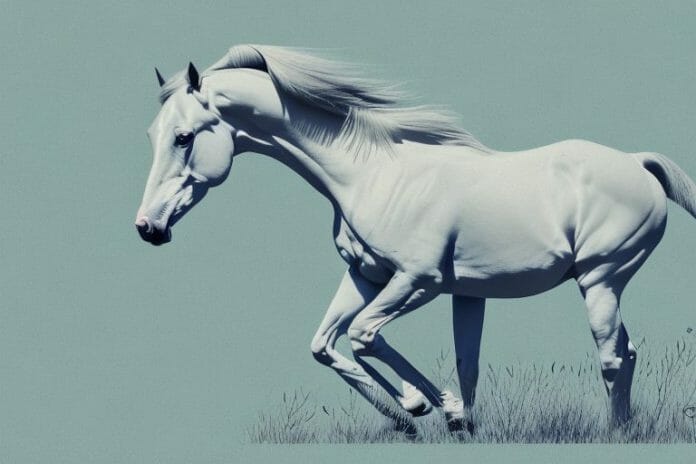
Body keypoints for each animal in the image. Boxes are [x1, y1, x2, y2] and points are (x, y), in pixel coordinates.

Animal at [135, 44, 696, 434]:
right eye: (151, 136)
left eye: (184, 137)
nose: (148, 228)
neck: (369, 176)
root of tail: (637, 162)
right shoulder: (366, 276)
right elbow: (326, 344)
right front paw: (413, 416)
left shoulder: (418, 281)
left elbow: (364, 335)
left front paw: (434, 406)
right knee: (627, 354)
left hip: (601, 279)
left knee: (612, 359)